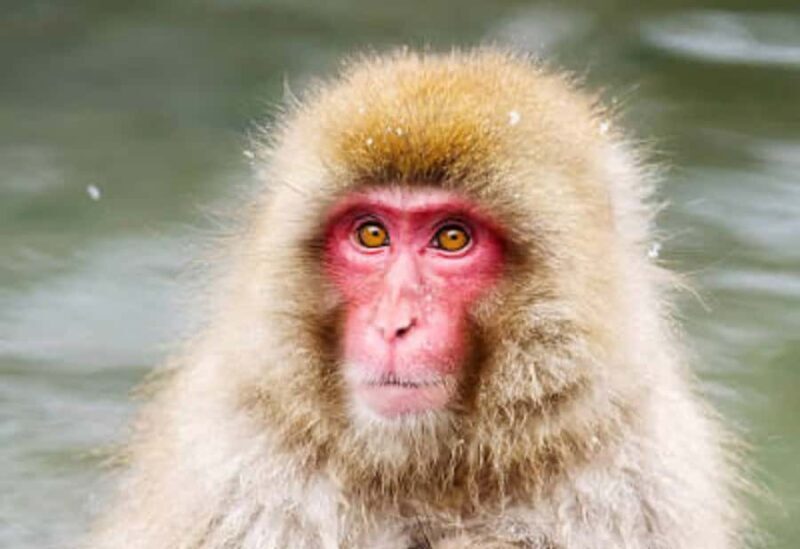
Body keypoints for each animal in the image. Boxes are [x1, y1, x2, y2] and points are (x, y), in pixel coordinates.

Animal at [86, 48, 743, 548]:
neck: (423, 473)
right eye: (371, 234)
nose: (393, 323)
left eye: (452, 238)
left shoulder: (634, 491)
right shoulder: (234, 477)